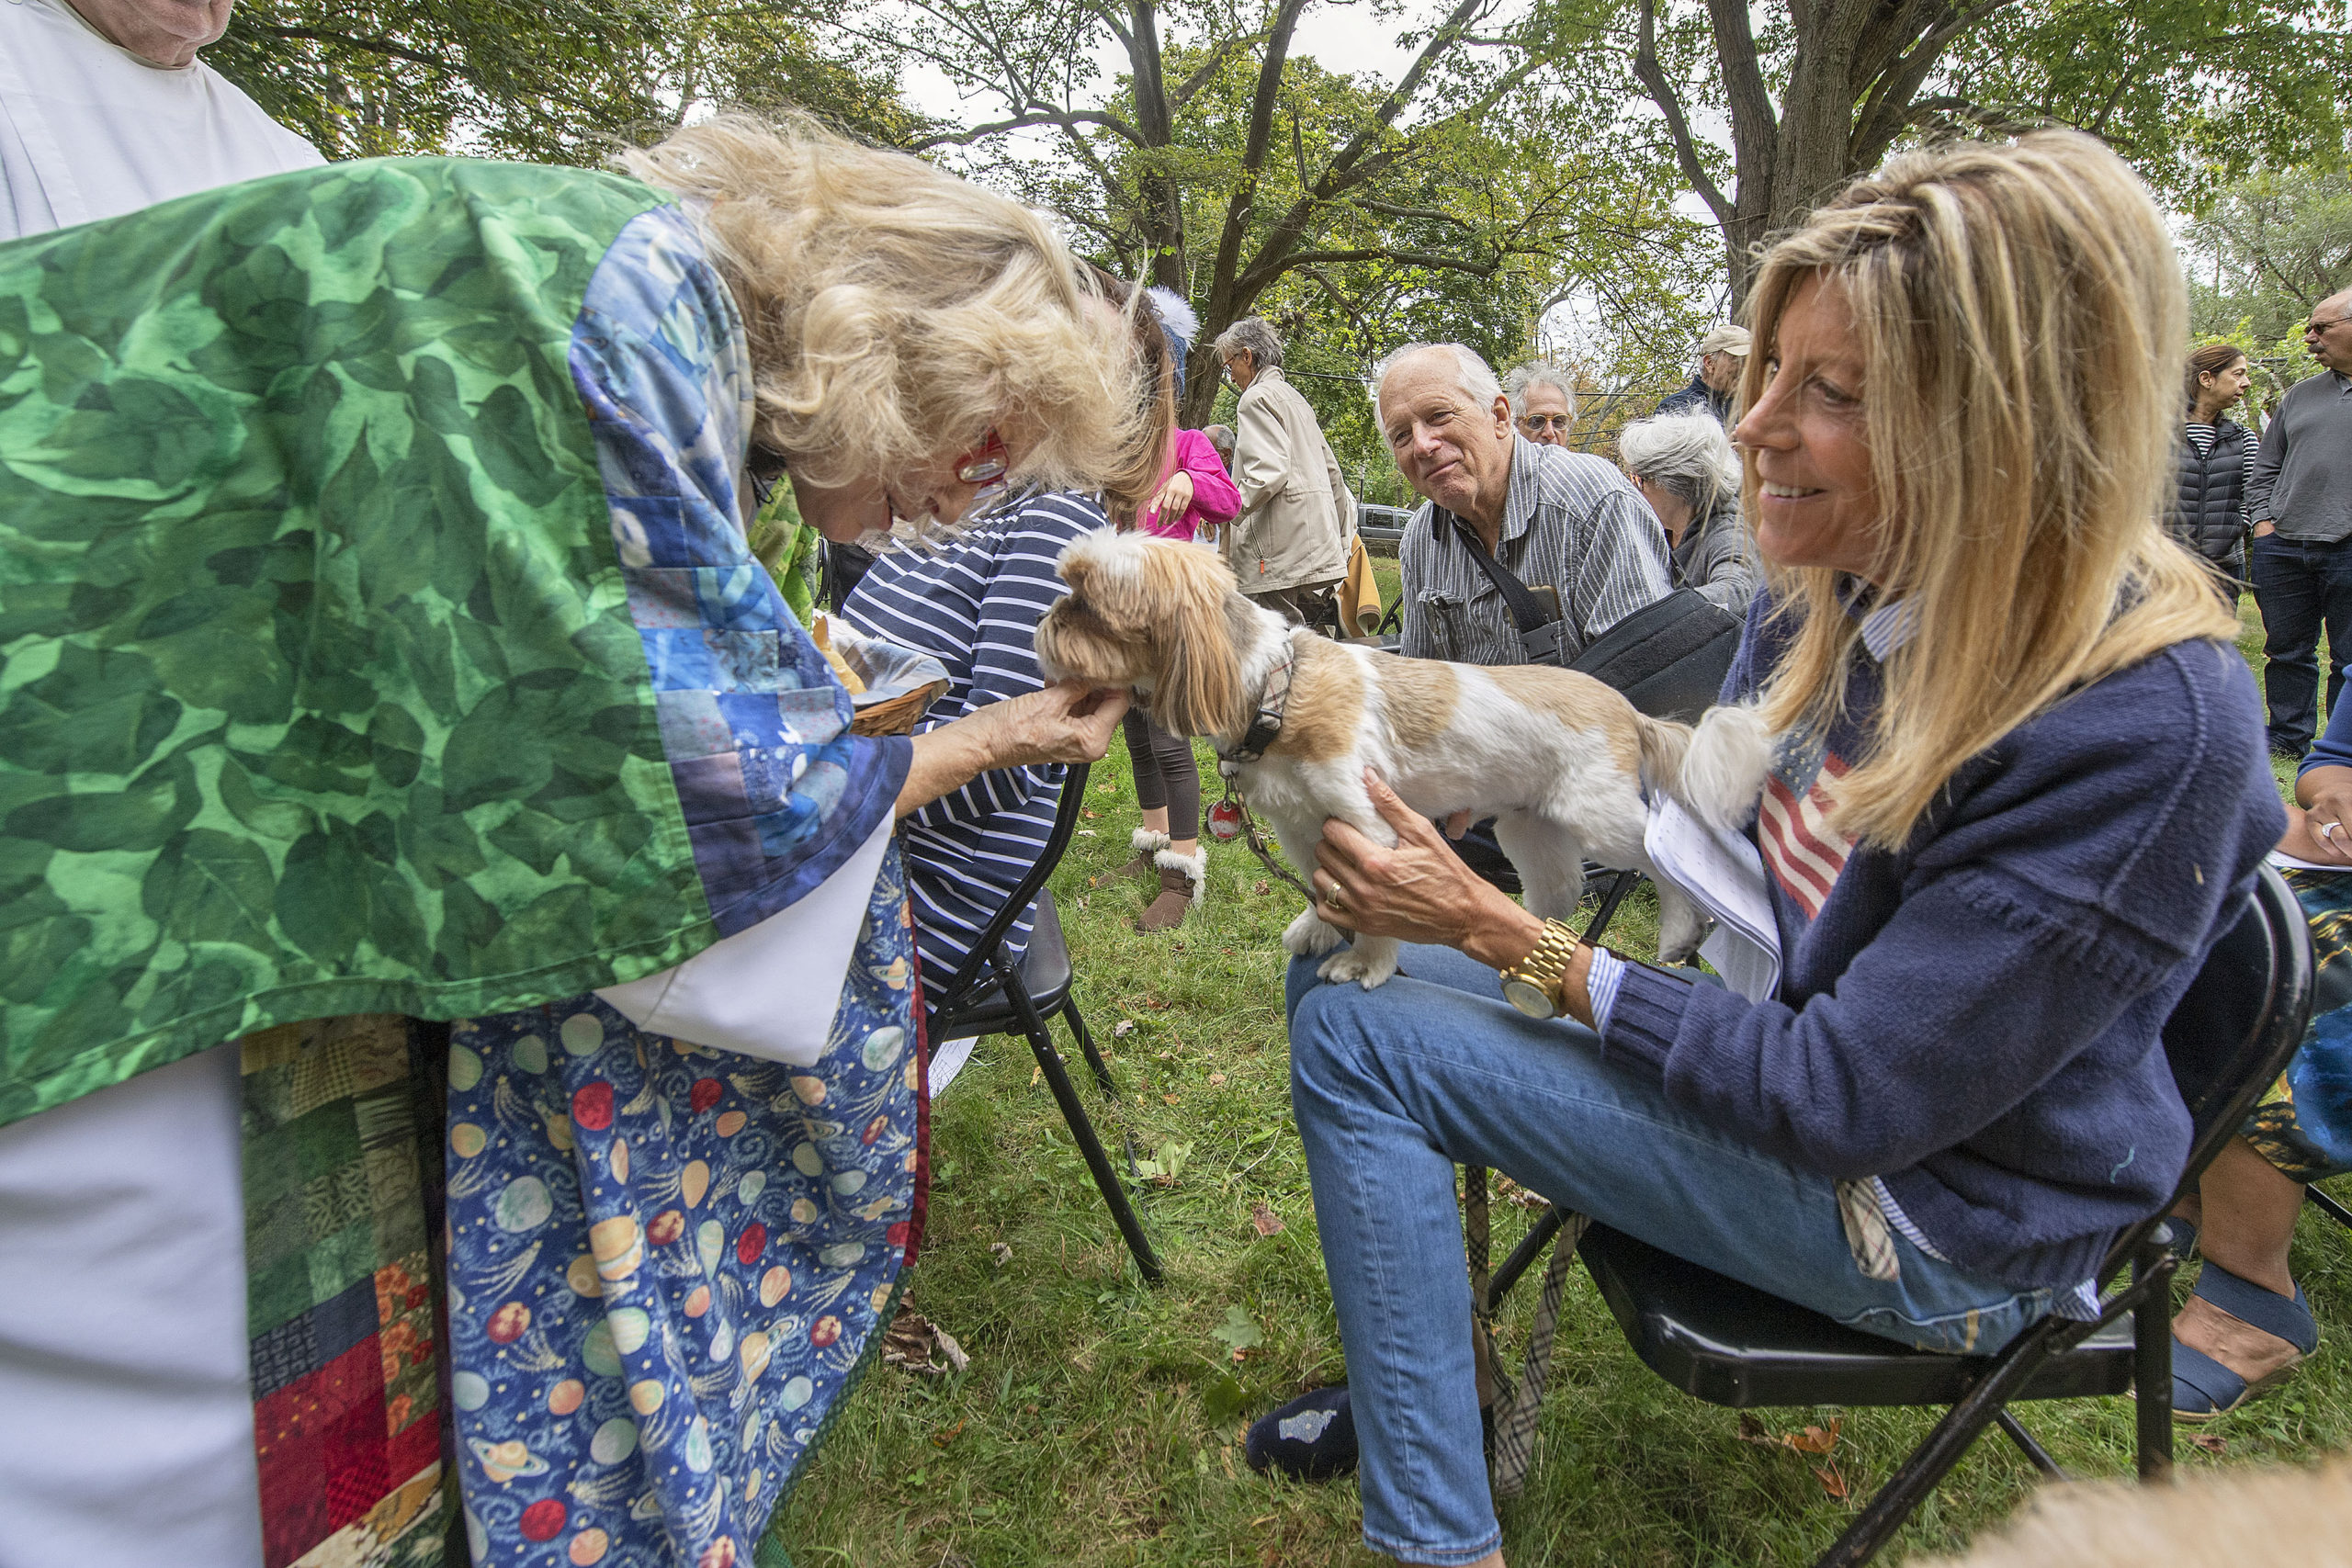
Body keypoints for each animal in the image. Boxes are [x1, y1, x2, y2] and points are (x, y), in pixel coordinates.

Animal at [1030, 533, 1769, 987]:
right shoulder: (1303, 827)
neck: (1278, 690)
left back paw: (1682, 926)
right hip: (1530, 827)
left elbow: (1366, 905)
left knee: (1662, 856)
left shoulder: (1364, 820)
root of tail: (1629, 711)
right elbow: (1325, 887)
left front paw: (1367, 961)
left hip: (1600, 816)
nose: (1047, 619)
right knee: (1556, 891)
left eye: (1089, 603)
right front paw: (1319, 926)